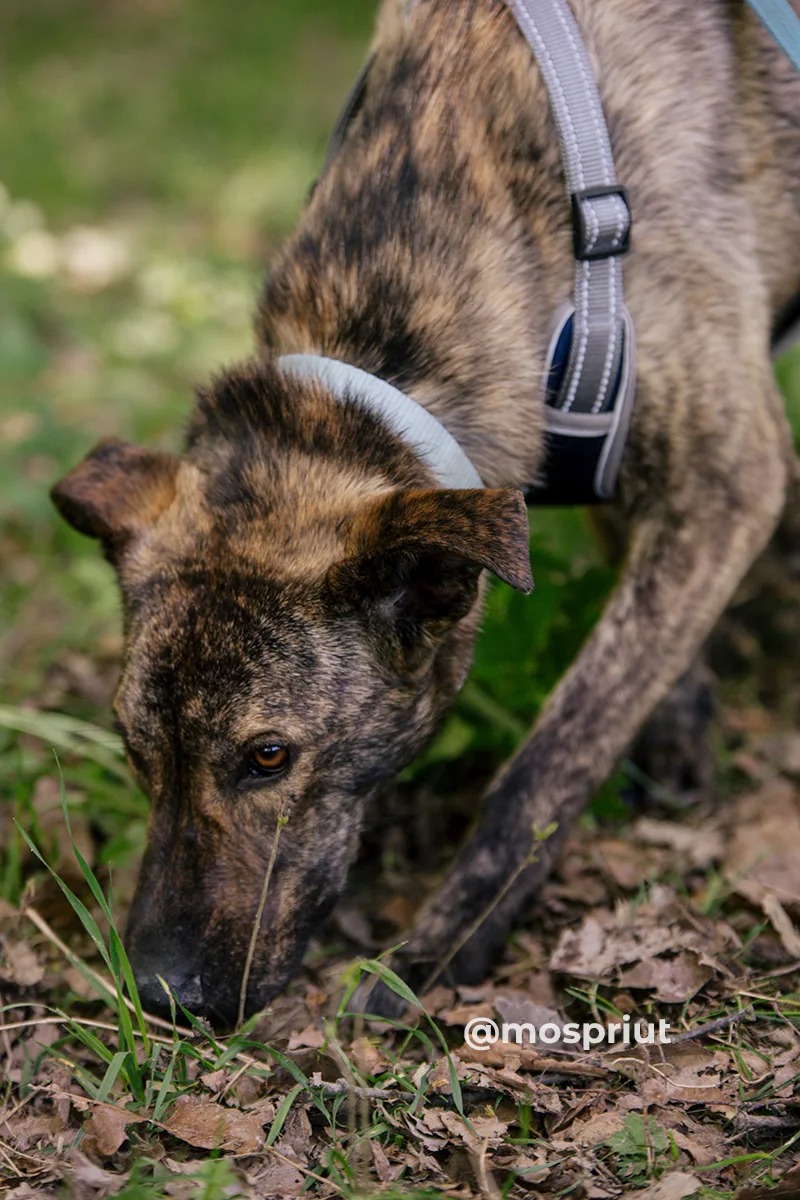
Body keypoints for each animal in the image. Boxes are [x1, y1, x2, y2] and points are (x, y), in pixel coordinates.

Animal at [53, 2, 796, 1032]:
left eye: (268, 756)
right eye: (132, 745)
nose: (163, 995)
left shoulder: (730, 476)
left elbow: (550, 760)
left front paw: (437, 951)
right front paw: (681, 740)